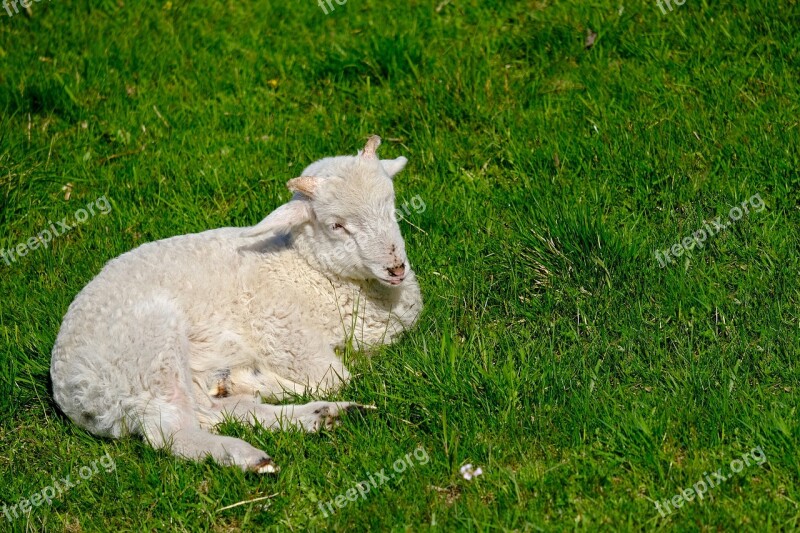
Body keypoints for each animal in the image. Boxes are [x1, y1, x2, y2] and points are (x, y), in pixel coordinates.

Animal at [48, 135, 424, 472]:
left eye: (391, 208)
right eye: (337, 225)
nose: (396, 268)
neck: (308, 269)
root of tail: (71, 390)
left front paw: (244, 382)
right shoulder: (286, 334)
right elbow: (336, 377)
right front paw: (259, 382)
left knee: (210, 413)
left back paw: (320, 414)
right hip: (148, 354)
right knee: (171, 432)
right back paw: (247, 454)